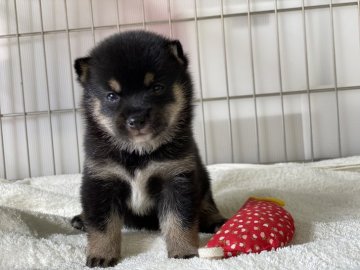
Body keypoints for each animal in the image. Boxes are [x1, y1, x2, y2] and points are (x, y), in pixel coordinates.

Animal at [71, 30, 225, 266]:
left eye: (157, 88)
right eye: (111, 96)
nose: (137, 119)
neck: (138, 153)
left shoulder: (177, 177)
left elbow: (179, 220)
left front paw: (183, 251)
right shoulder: (101, 180)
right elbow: (102, 225)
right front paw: (101, 254)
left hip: (202, 177)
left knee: (207, 202)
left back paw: (215, 221)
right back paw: (81, 219)